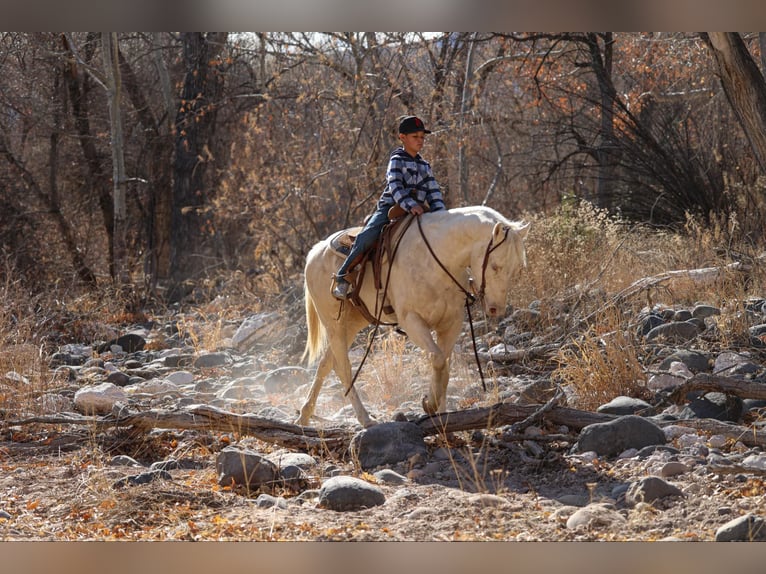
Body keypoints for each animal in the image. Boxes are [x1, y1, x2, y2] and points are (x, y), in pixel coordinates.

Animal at [296, 207, 532, 428]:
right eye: (495, 266)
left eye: (517, 269)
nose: (495, 309)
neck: (436, 258)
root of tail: (315, 251)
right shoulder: (412, 321)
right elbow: (437, 358)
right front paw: (430, 403)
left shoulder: (451, 324)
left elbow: (445, 365)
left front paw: (440, 411)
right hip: (334, 323)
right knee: (343, 367)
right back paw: (365, 419)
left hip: (352, 323)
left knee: (327, 363)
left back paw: (304, 416)